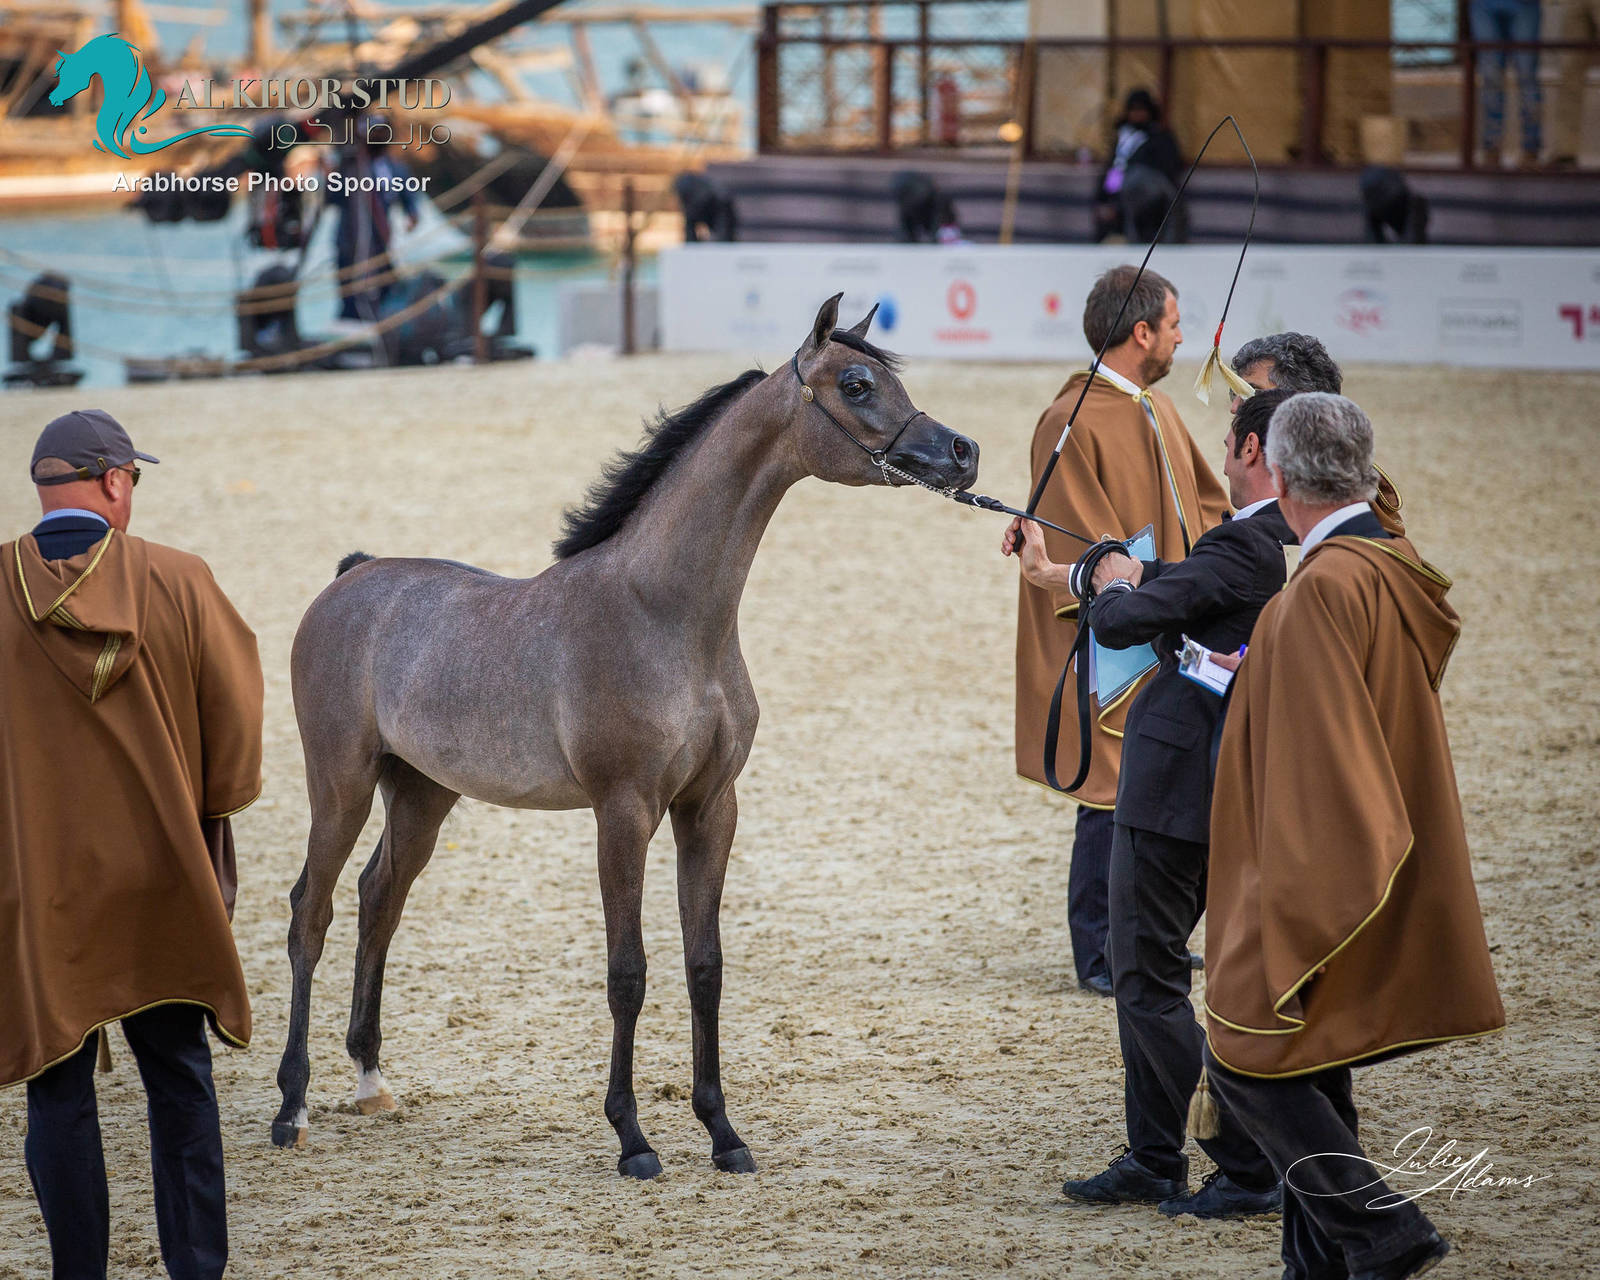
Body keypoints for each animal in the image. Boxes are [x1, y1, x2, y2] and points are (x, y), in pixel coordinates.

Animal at [271, 295, 980, 1177]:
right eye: (855, 383)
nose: (963, 453)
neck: (664, 613)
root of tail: (352, 577)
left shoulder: (710, 808)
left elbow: (704, 966)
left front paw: (723, 1134)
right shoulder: (624, 811)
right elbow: (629, 973)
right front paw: (634, 1140)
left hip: (423, 794)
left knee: (379, 898)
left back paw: (371, 1081)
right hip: (341, 782)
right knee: (312, 912)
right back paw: (292, 1109)